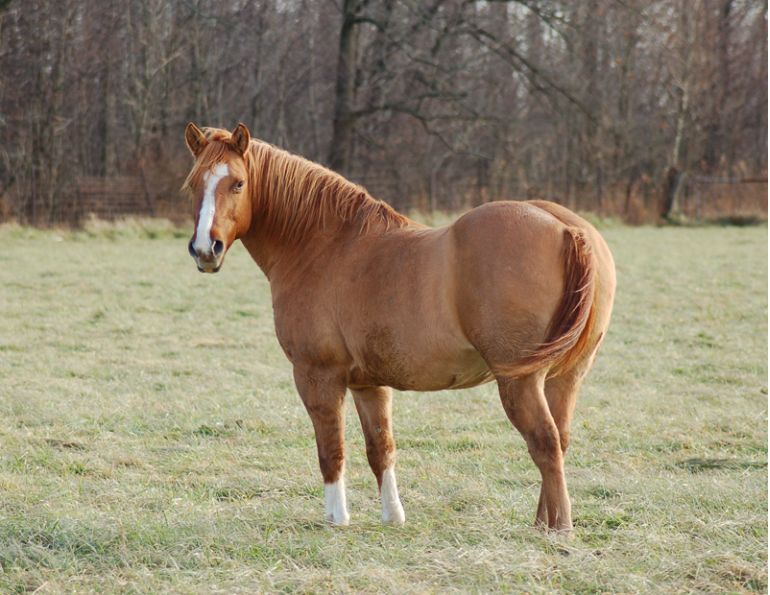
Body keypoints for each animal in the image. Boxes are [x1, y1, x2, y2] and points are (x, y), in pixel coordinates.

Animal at [182, 122, 616, 532]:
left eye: (238, 182)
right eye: (193, 185)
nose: (205, 249)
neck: (325, 246)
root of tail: (567, 229)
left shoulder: (317, 375)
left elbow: (331, 450)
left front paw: (336, 518)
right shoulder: (368, 383)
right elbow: (381, 448)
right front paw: (393, 516)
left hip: (520, 381)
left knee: (544, 443)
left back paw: (558, 529)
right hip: (565, 378)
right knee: (559, 440)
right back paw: (543, 521)